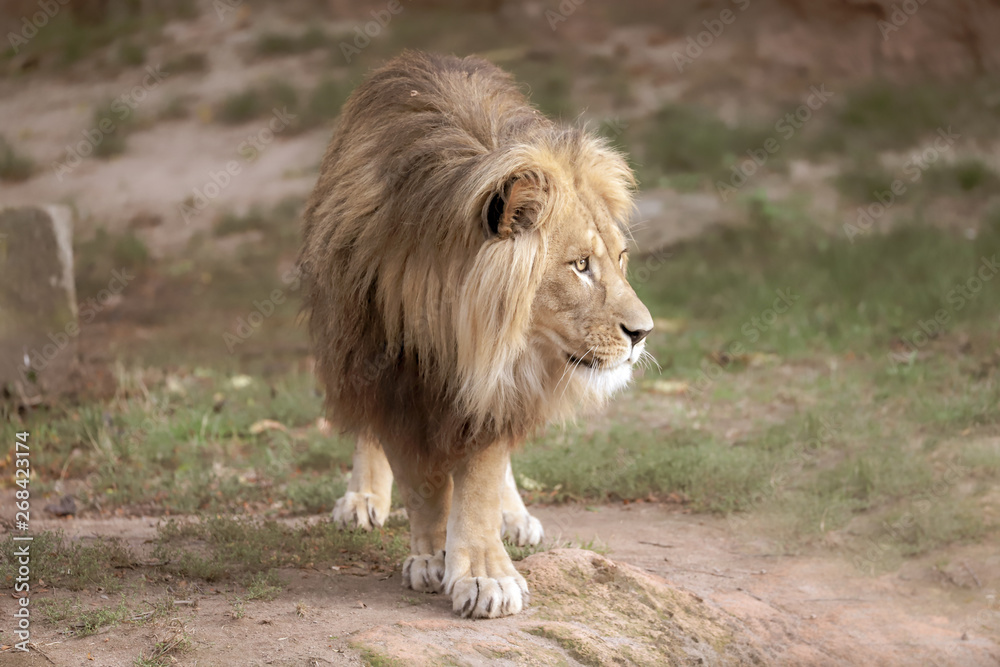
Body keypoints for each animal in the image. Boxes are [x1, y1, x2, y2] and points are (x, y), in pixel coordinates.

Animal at [299, 51, 653, 619]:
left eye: (620, 259)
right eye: (580, 265)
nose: (643, 333)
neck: (456, 329)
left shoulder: (498, 385)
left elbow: (482, 475)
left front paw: (487, 573)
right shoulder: (389, 374)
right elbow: (419, 477)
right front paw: (431, 553)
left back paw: (514, 517)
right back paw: (364, 497)